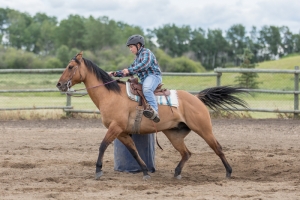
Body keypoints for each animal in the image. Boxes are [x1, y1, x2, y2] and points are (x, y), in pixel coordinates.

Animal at [56, 51, 248, 180]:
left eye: (70, 67)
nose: (59, 84)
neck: (111, 94)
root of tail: (196, 98)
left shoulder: (115, 127)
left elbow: (102, 146)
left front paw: (98, 170)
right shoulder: (122, 132)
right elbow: (134, 152)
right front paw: (145, 172)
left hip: (203, 129)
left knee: (217, 148)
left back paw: (228, 172)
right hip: (174, 134)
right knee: (186, 153)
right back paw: (177, 173)